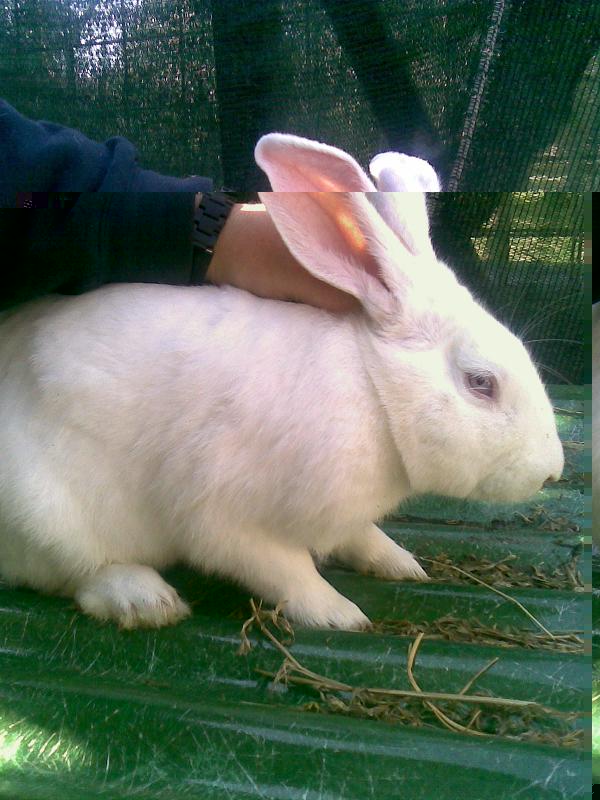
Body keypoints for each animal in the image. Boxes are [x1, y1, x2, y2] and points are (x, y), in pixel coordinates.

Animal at [0, 133, 564, 630]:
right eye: (481, 383)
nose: (551, 474)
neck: (374, 392)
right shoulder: (225, 516)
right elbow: (285, 570)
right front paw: (339, 615)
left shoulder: (344, 518)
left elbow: (362, 537)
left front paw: (400, 563)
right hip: (46, 515)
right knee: (77, 573)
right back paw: (145, 600)